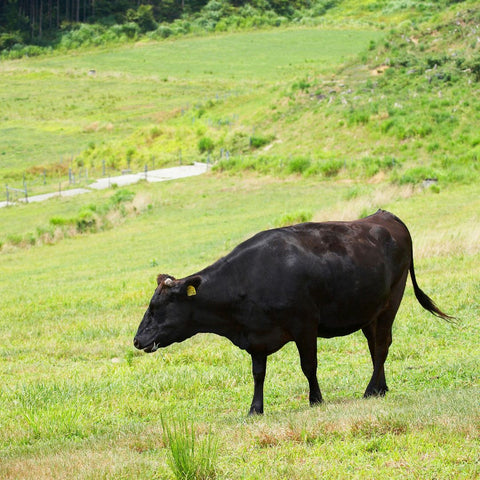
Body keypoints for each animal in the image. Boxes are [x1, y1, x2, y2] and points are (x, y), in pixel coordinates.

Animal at [133, 209, 452, 412]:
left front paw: (316, 400)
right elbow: (258, 374)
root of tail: (384, 216)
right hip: (369, 311)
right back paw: (380, 389)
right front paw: (255, 409)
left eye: (157, 306)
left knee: (383, 345)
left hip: (391, 303)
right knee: (376, 347)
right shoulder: (256, 336)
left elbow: (308, 365)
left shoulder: (305, 325)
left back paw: (371, 390)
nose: (137, 340)